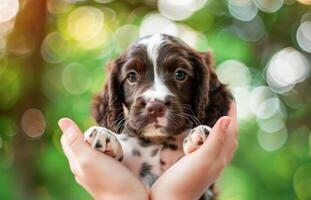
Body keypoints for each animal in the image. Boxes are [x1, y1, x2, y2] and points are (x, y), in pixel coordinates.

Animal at [84, 33, 233, 199]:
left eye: (180, 74)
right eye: (131, 76)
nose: (155, 107)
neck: (157, 140)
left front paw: (199, 133)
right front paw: (104, 135)